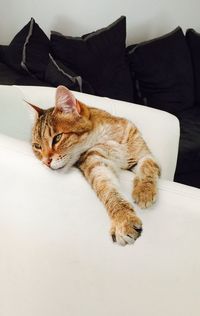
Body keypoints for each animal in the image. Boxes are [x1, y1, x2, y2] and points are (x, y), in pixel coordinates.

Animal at [27, 86, 160, 247]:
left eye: (57, 138)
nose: (45, 161)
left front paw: (144, 192)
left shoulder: (145, 155)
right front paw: (123, 219)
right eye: (37, 146)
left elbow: (148, 168)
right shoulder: (95, 162)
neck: (109, 137)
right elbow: (109, 192)